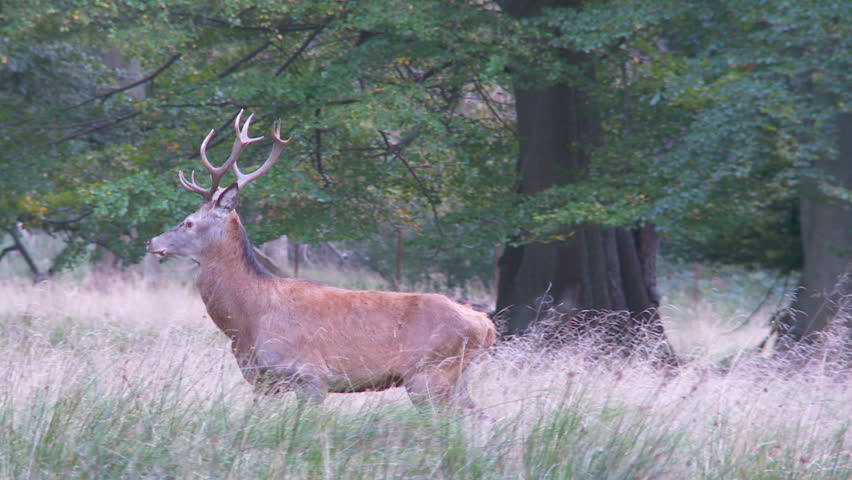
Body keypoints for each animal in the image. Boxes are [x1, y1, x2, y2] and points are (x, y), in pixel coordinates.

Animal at [147, 111, 496, 408]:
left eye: (189, 222)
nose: (152, 241)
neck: (248, 319)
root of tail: (487, 325)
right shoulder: (262, 381)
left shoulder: (311, 375)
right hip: (453, 378)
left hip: (431, 375)